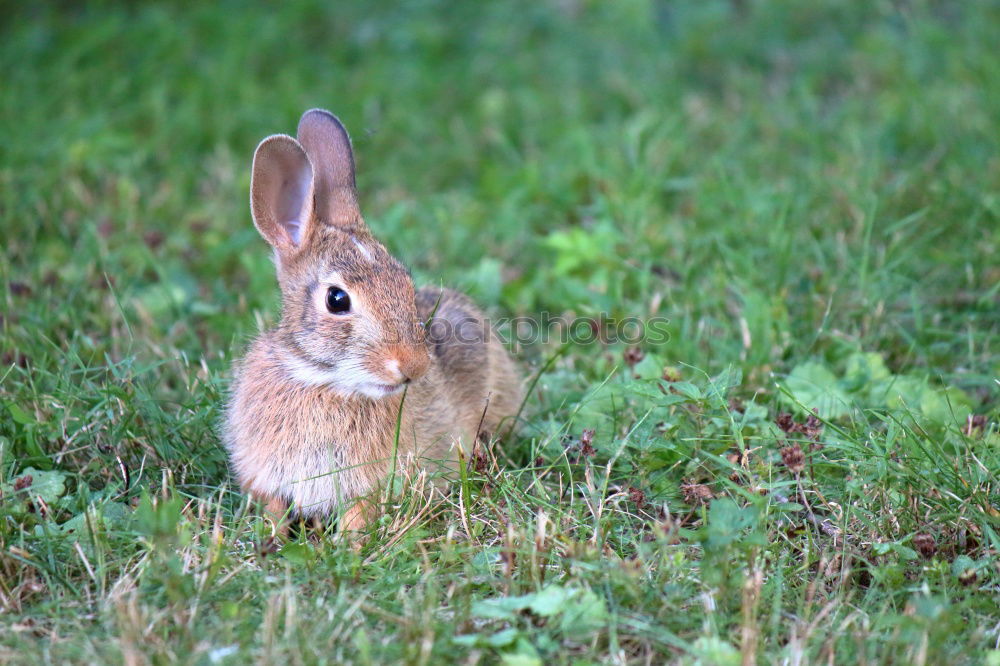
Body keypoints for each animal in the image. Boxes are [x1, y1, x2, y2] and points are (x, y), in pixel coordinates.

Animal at [223, 109, 524, 536]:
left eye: (405, 283)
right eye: (337, 300)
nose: (414, 366)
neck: (323, 380)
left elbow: (358, 516)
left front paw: (348, 543)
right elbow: (274, 509)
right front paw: (272, 537)